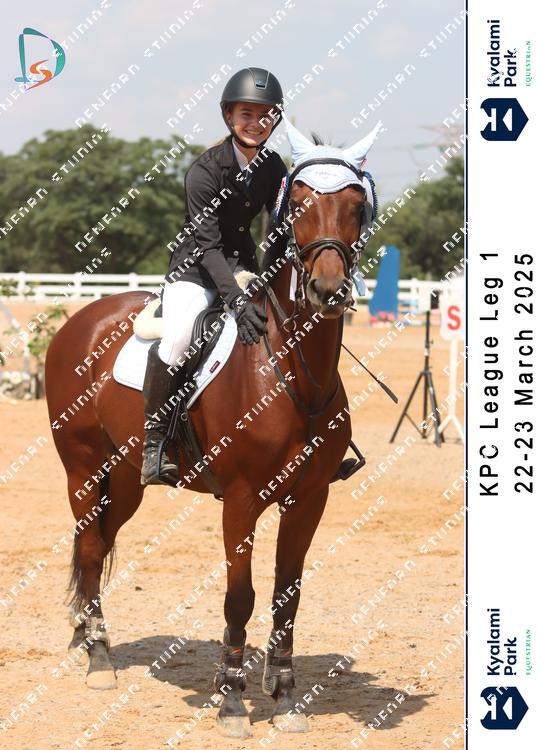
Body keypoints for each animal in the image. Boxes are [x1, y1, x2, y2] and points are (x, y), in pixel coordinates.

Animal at [44, 115, 381, 738]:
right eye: (299, 203)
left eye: (354, 204)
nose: (327, 291)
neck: (291, 369)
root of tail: (79, 320)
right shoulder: (242, 500)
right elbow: (239, 597)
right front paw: (232, 701)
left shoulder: (309, 499)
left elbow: (286, 597)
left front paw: (286, 698)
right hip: (82, 467)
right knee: (89, 546)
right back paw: (99, 660)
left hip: (124, 479)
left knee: (99, 541)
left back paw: (87, 638)